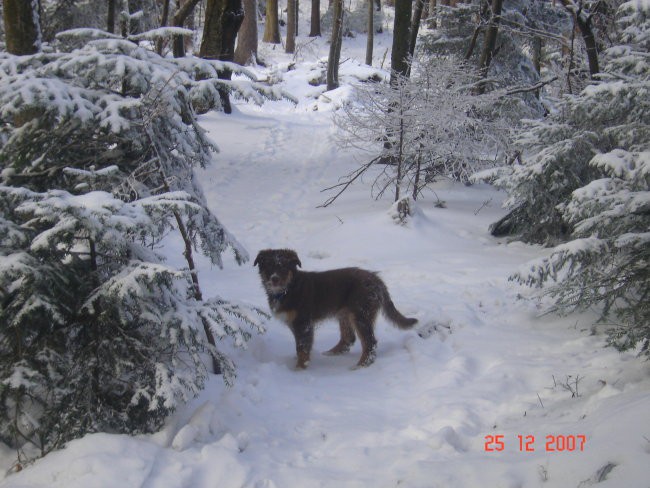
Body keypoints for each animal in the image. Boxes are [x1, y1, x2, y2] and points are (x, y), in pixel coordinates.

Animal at [253, 250, 416, 368]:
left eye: (283, 267)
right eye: (269, 267)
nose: (274, 279)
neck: (289, 288)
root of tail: (377, 280)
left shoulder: (303, 323)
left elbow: (302, 348)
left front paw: (299, 369)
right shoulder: (296, 324)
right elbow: (300, 345)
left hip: (361, 314)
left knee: (370, 343)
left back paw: (360, 366)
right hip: (344, 313)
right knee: (349, 338)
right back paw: (331, 353)